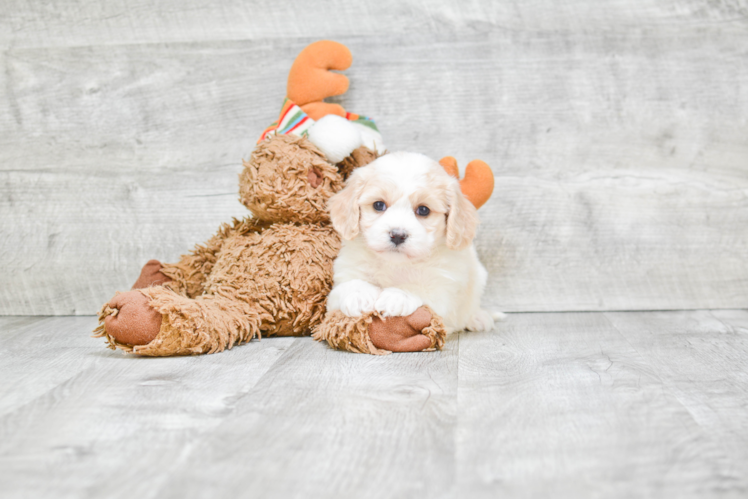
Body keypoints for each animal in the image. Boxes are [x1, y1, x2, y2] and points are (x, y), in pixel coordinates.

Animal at [328, 152, 496, 332]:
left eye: (423, 210)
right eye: (378, 205)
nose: (397, 235)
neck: (396, 264)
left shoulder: (444, 289)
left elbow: (421, 288)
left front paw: (397, 296)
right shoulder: (344, 276)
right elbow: (349, 284)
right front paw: (358, 295)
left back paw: (478, 318)